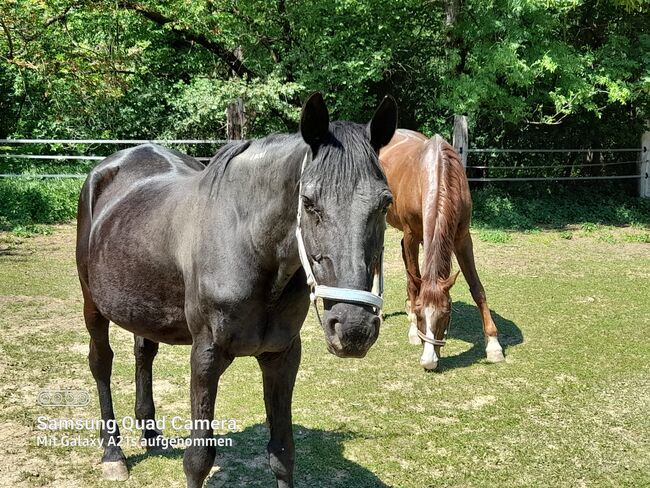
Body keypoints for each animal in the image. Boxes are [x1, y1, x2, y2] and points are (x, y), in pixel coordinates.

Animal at [78, 93, 398, 486]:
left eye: (385, 203)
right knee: (101, 363)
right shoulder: (205, 355)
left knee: (144, 353)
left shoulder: (282, 356)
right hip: (92, 304)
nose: (354, 328)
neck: (248, 244)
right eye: (309, 202)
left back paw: (151, 432)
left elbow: (283, 453)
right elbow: (198, 458)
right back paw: (113, 453)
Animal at [378, 130, 504, 370]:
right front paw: (413, 329)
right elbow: (414, 282)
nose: (429, 361)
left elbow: (477, 287)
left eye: (446, 314)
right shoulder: (412, 235)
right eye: (421, 315)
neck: (436, 172)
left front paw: (493, 345)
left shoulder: (462, 238)